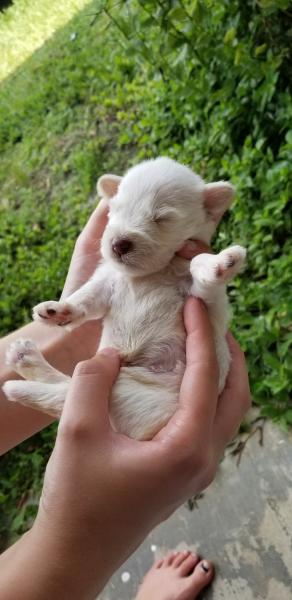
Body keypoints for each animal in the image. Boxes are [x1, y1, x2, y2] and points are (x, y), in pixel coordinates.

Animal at [4, 159, 246, 440]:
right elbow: (85, 298)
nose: (118, 243)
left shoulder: (204, 299)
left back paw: (19, 377)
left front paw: (220, 263)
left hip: (130, 397)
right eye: (116, 210)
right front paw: (59, 310)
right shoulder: (105, 283)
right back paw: (25, 359)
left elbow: (198, 263)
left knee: (65, 393)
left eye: (162, 218)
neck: (147, 275)